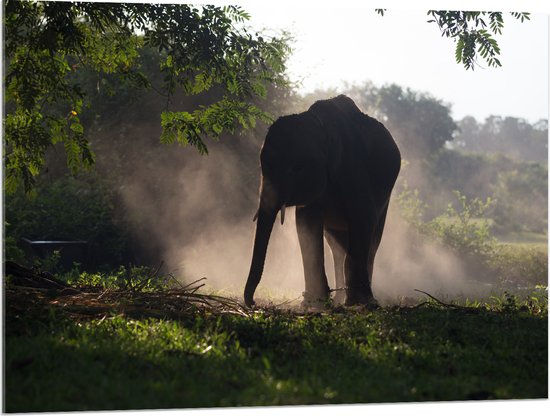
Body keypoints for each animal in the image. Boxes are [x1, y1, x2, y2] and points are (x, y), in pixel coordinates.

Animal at [245, 95, 402, 308]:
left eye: (294, 170)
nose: (254, 303)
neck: (319, 126)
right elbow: (307, 225)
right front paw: (314, 303)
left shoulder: (353, 167)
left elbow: (364, 218)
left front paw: (357, 303)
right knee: (337, 247)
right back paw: (338, 299)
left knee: (372, 242)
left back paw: (364, 299)